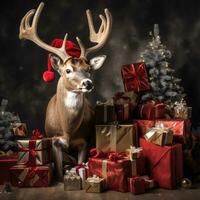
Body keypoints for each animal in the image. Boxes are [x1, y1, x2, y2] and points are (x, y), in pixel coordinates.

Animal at [18, 1, 112, 180]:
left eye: (89, 69)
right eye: (68, 70)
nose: (88, 83)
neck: (68, 128)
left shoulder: (84, 141)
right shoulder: (55, 141)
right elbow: (60, 172)